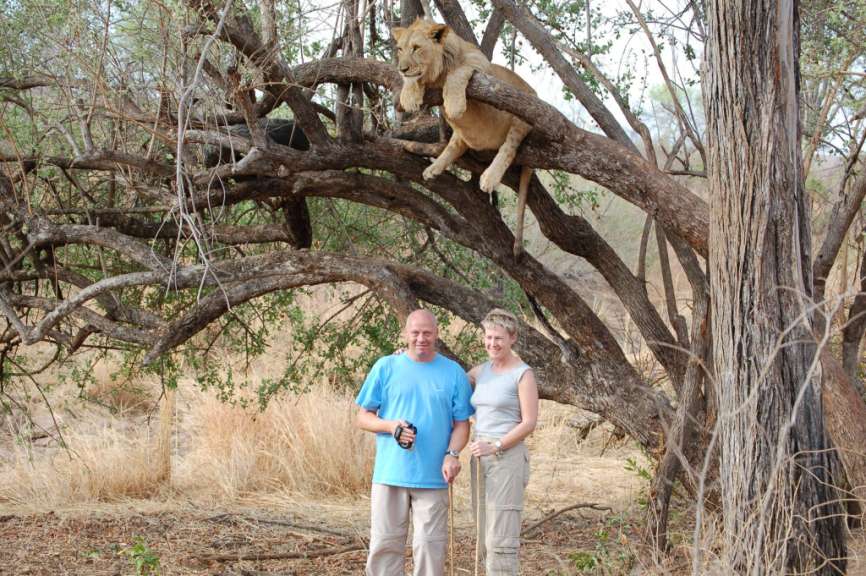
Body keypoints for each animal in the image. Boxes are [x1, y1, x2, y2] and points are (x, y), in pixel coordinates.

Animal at [393, 19, 535, 256]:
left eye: (416, 48)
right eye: (400, 49)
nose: (401, 69)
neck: (436, 74)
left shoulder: (481, 64)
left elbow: (458, 72)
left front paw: (454, 104)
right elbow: (413, 82)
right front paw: (409, 95)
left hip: (523, 115)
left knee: (509, 148)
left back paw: (489, 178)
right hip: (463, 134)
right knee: (455, 145)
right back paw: (433, 168)